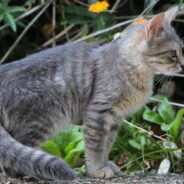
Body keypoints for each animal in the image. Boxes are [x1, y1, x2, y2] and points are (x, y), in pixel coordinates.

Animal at [0, 6, 183, 181]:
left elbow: (106, 145)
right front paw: (96, 170)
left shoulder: (114, 119)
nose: (182, 65)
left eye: (181, 51)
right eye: (173, 53)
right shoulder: (98, 113)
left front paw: (105, 165)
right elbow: (96, 146)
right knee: (16, 157)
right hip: (40, 121)